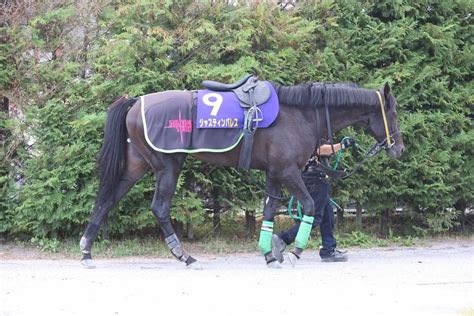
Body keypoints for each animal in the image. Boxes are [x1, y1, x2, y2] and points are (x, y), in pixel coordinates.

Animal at [79, 80, 406, 268]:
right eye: (392, 113)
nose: (399, 148)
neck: (299, 114)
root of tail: (135, 102)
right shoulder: (289, 172)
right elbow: (310, 206)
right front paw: (294, 252)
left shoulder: (275, 173)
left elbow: (270, 211)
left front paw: (270, 254)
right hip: (167, 166)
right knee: (159, 208)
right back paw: (185, 256)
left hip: (137, 165)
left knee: (106, 201)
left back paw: (86, 251)